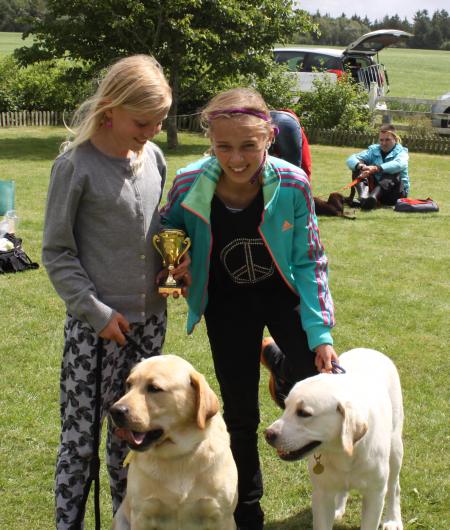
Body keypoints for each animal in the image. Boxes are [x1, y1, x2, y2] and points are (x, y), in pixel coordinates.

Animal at [110, 354, 238, 530]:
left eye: (154, 388)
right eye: (129, 384)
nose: (115, 411)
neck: (178, 455)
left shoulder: (221, 516)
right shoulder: (143, 514)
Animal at [265, 348, 404, 530]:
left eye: (304, 413)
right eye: (286, 406)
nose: (268, 434)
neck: (345, 453)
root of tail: (369, 350)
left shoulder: (375, 495)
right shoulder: (321, 494)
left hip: (395, 449)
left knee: (394, 487)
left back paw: (393, 519)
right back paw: (338, 508)